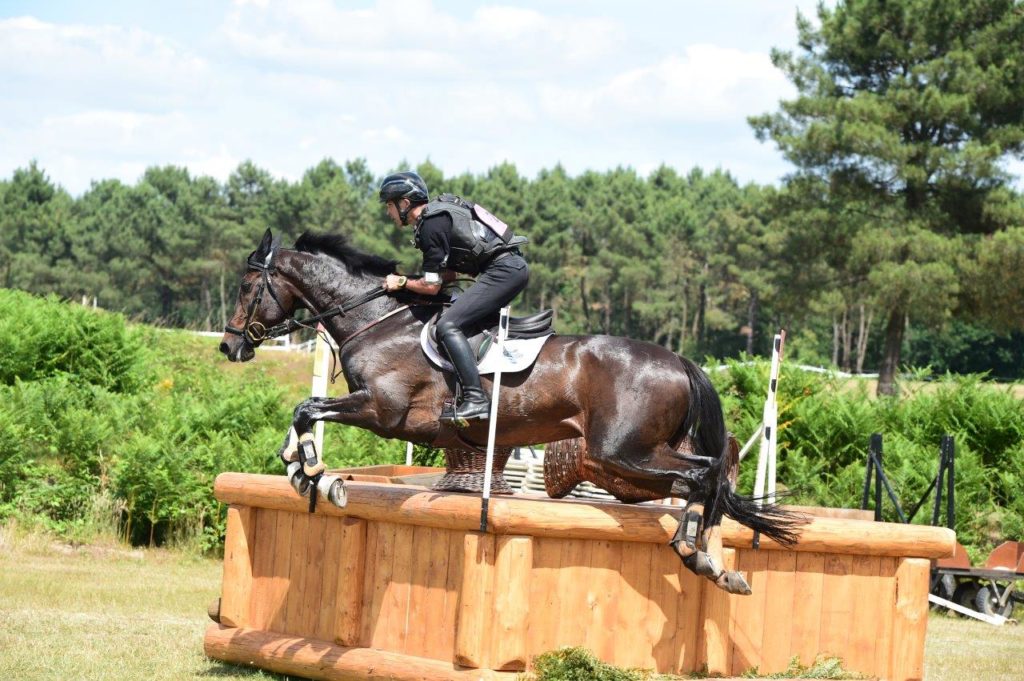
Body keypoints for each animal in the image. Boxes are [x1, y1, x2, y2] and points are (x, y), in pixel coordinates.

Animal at [220, 227, 802, 589]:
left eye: (248, 286)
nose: (229, 346)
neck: (380, 320)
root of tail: (679, 359)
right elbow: (303, 414)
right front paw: (300, 470)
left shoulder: (384, 412)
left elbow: (307, 408)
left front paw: (317, 475)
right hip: (632, 460)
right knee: (705, 478)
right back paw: (715, 564)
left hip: (621, 452)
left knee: (703, 475)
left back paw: (695, 553)